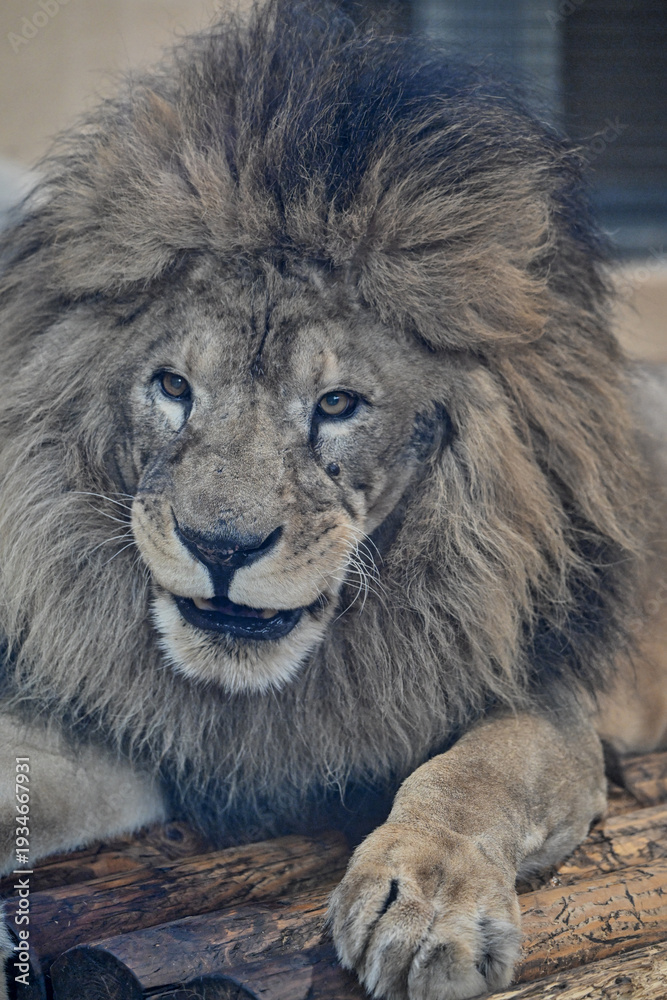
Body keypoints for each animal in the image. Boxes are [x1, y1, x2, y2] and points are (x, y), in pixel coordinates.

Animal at [0, 2, 665, 997]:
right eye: (172, 387)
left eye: (338, 405)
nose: (220, 547)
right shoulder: (154, 730)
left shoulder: (549, 706)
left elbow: (478, 772)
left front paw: (424, 903)